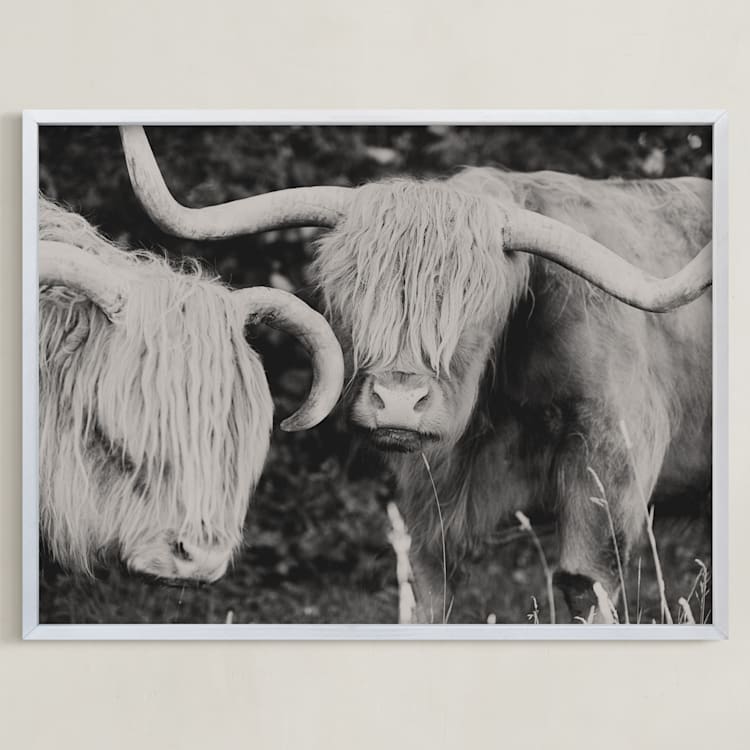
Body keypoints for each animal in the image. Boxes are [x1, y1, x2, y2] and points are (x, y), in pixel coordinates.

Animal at [120, 125, 712, 621]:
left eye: (476, 308)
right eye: (350, 295)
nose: (399, 402)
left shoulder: (610, 460)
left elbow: (584, 582)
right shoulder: (432, 495)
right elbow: (430, 586)